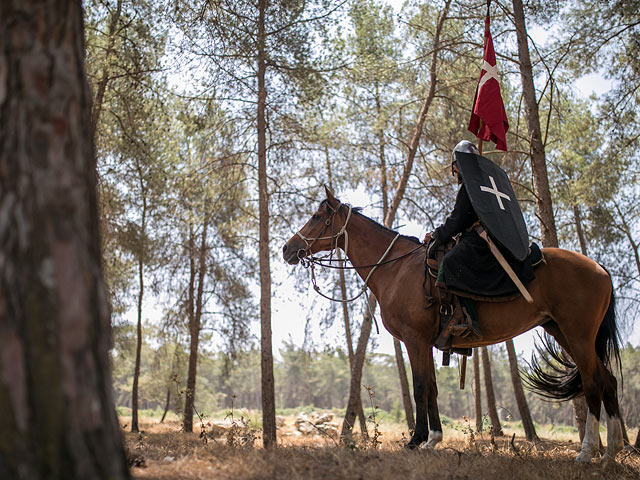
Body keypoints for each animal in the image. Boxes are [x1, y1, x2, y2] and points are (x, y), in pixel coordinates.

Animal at [284, 187, 624, 464]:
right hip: (563, 332)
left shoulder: (415, 340)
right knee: (608, 381)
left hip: (578, 336)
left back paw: (587, 452)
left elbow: (421, 387)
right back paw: (612, 452)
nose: (288, 249)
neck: (396, 268)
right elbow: (433, 388)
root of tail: (599, 268)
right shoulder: (427, 344)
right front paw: (433, 440)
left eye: (317, 216)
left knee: (593, 384)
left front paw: (416, 440)